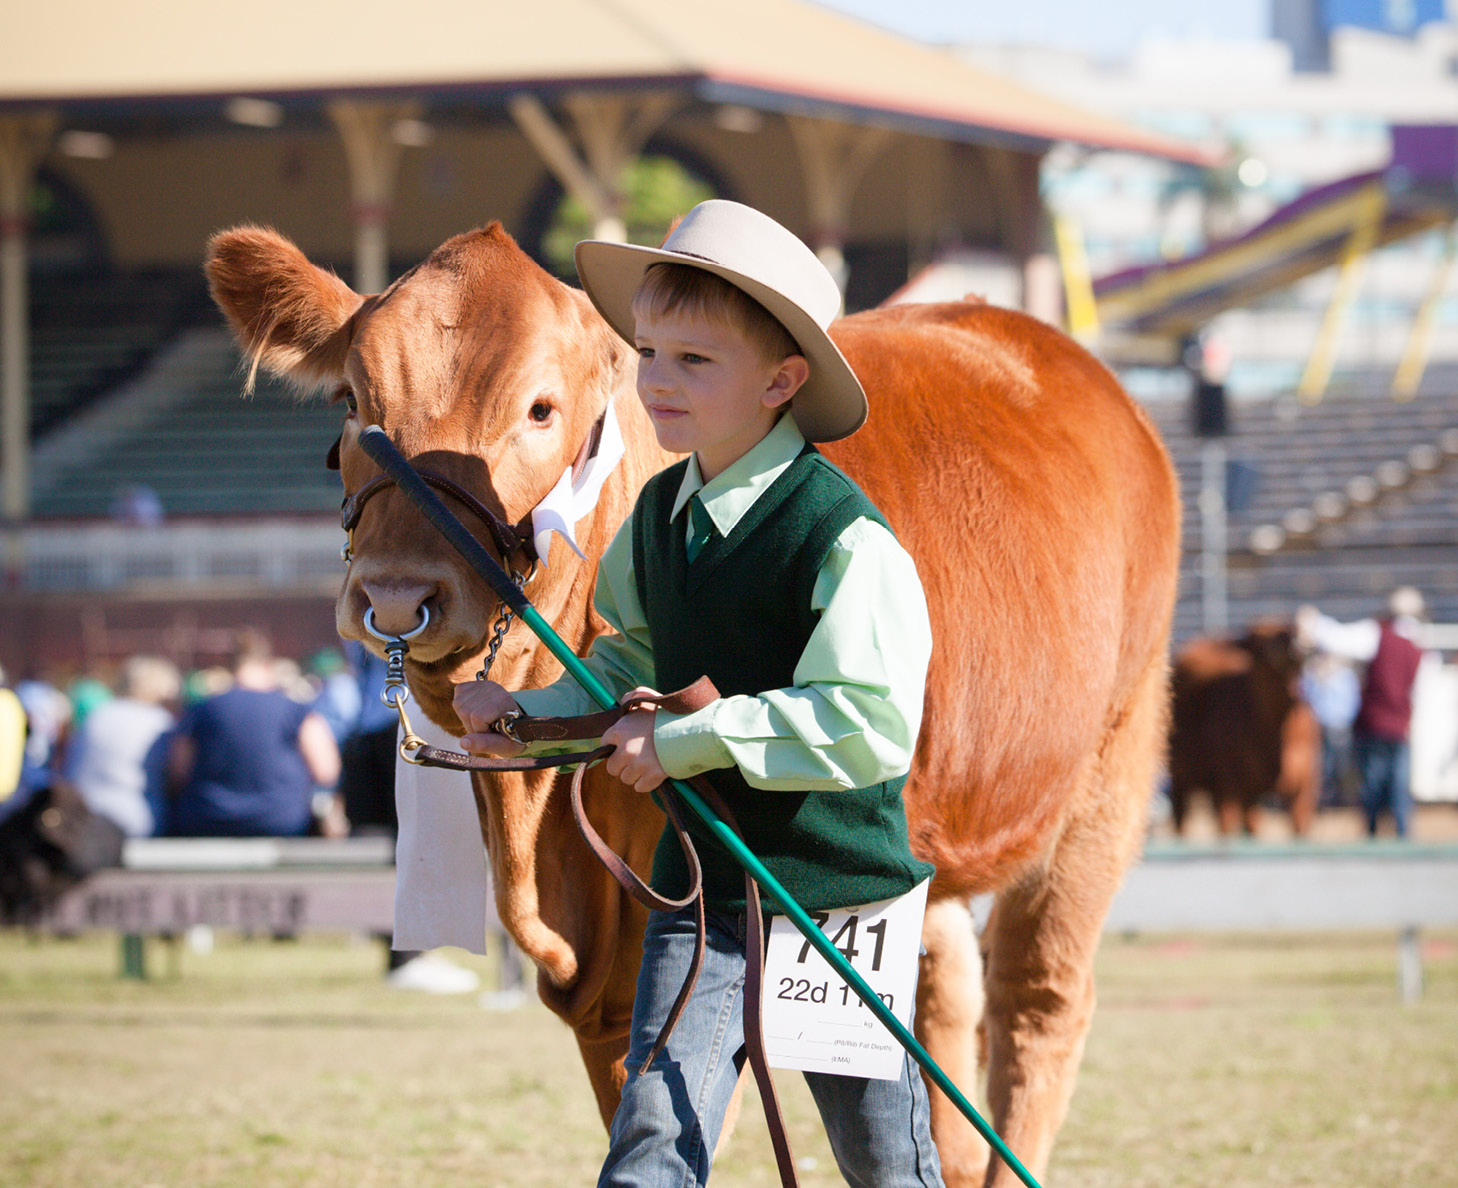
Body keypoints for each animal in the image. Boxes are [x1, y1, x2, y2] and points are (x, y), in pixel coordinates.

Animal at [208, 223, 1183, 1188]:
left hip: (1109, 777)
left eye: (541, 410)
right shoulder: (619, 986)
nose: (398, 596)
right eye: (351, 400)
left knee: (1038, 1002)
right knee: (939, 999)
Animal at [1160, 623, 1323, 833]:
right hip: (1182, 778)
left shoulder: (1306, 787)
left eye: (1293, 625)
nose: (1299, 643)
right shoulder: (1233, 786)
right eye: (1259, 640)